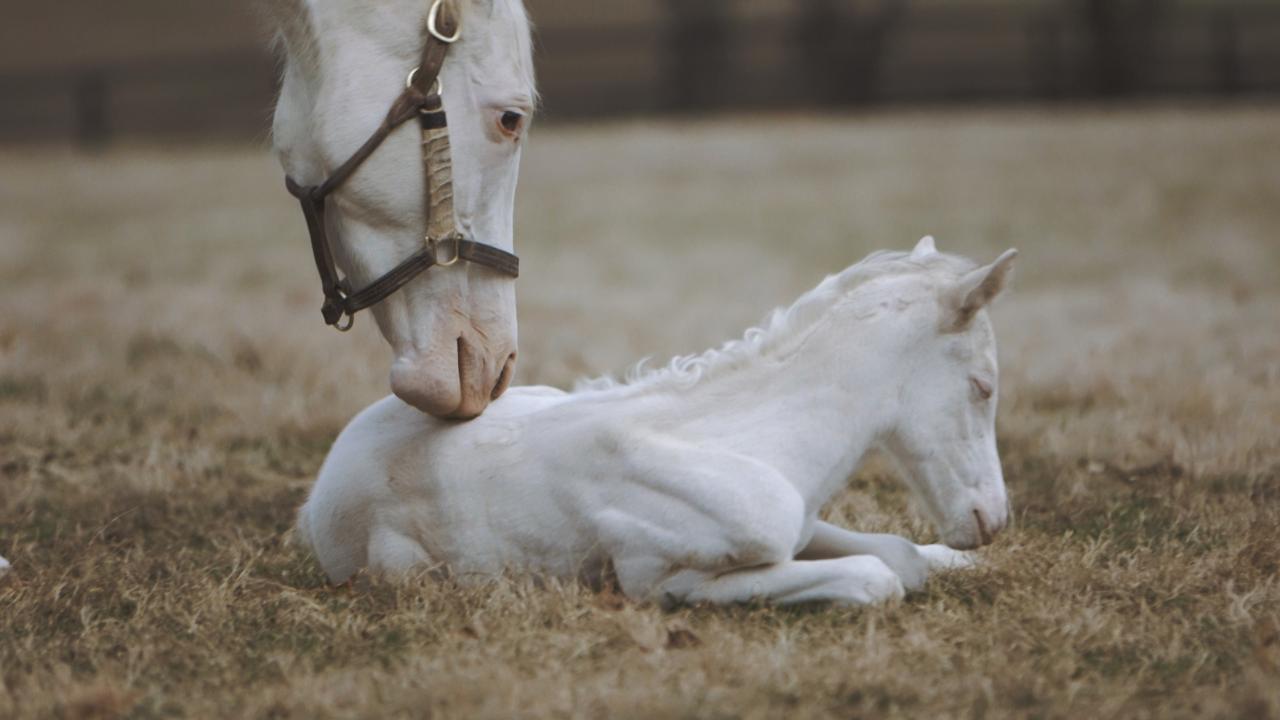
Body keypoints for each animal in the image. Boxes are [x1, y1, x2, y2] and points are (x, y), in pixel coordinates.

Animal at [299, 238, 1018, 602]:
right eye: (983, 387)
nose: (991, 521)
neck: (750, 441)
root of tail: (320, 490)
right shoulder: (664, 579)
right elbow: (879, 578)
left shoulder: (801, 523)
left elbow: (900, 554)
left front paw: (951, 563)